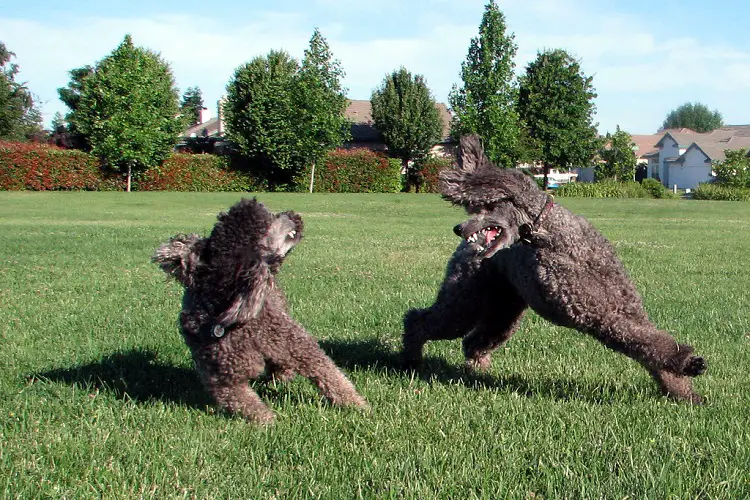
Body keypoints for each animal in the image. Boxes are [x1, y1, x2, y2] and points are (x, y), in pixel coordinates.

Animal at [156, 197, 370, 424]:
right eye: (268, 222)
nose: (293, 214)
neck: (230, 316)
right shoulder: (223, 380)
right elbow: (246, 403)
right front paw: (269, 422)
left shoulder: (298, 346)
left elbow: (330, 374)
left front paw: (357, 405)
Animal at [402, 135, 708, 404]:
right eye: (471, 206)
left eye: (486, 206)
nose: (459, 228)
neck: (560, 239)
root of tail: (467, 250)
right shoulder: (602, 315)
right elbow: (649, 343)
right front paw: (687, 361)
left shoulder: (626, 307)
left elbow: (651, 345)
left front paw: (683, 392)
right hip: (465, 303)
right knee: (418, 321)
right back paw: (410, 362)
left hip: (503, 311)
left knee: (474, 341)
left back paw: (477, 370)